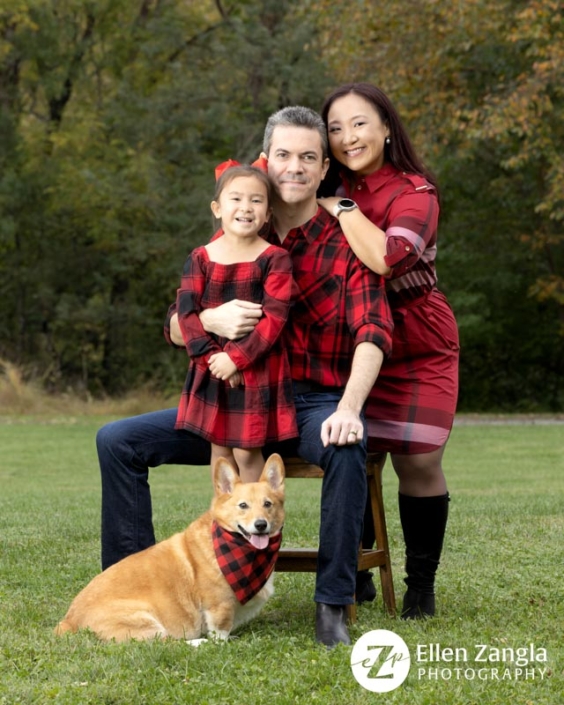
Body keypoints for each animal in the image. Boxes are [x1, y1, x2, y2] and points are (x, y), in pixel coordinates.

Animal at [55, 454, 284, 640]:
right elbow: (220, 632)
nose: (261, 525)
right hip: (146, 620)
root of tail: (69, 621)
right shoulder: (219, 606)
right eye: (243, 505)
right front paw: (222, 643)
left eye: (268, 504)